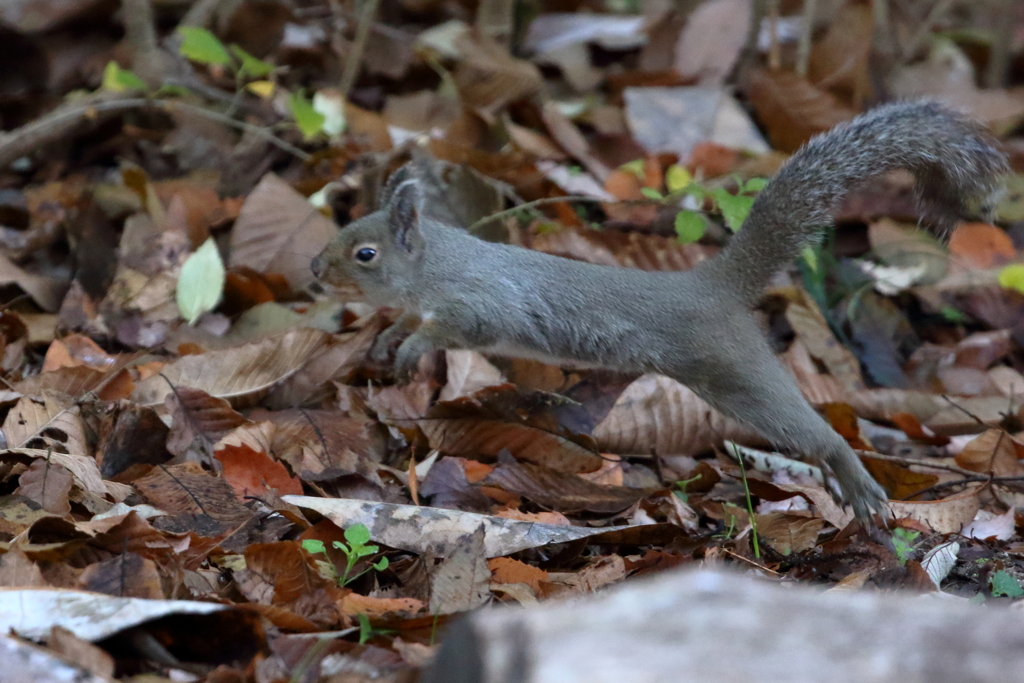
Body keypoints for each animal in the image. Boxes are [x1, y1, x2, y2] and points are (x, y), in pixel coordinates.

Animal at [311, 101, 1007, 524]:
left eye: (366, 253)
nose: (315, 272)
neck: (437, 267)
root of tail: (713, 287)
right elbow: (408, 322)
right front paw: (390, 340)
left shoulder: (483, 304)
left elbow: (455, 328)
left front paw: (410, 345)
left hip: (737, 374)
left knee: (818, 436)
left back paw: (857, 485)